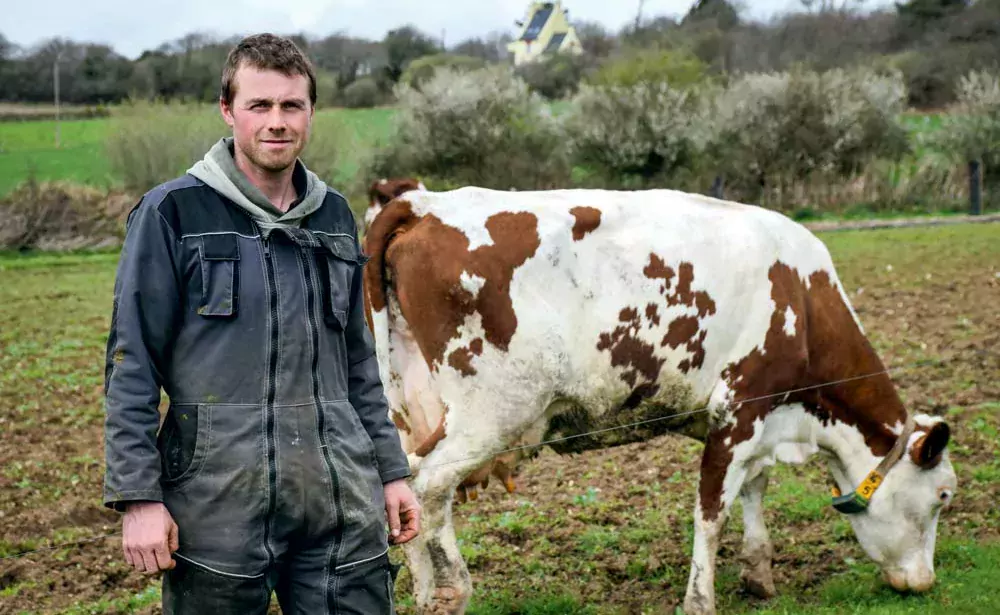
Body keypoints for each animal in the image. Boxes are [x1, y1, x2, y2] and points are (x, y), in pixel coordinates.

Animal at [362, 188, 960, 615]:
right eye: (943, 496)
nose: (926, 583)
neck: (805, 306)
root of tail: (422, 203)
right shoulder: (738, 409)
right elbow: (712, 511)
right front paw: (700, 600)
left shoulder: (758, 419)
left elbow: (755, 487)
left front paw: (758, 573)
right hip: (490, 412)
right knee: (430, 486)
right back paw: (450, 592)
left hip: (410, 406)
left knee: (403, 483)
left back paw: (425, 591)